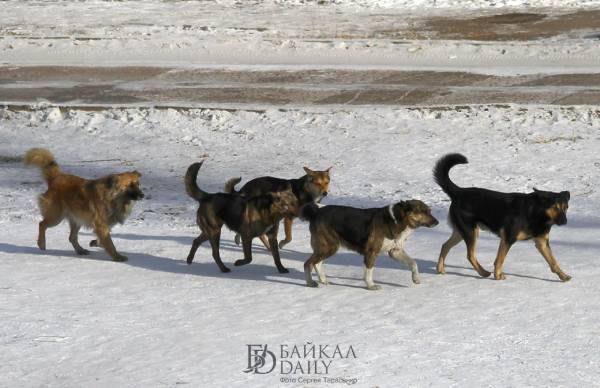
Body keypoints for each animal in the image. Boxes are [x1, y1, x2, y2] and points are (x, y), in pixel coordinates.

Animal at [302, 200, 438, 288]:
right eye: (423, 212)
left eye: (429, 211)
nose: (437, 222)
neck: (396, 220)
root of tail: (316, 212)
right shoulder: (371, 252)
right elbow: (369, 270)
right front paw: (371, 285)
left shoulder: (395, 251)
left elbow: (413, 263)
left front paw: (416, 278)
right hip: (329, 246)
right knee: (307, 264)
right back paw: (310, 283)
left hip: (327, 248)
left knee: (317, 263)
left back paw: (323, 280)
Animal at [434, 152, 568, 282]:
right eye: (555, 207)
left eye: (566, 207)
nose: (565, 222)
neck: (537, 212)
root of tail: (458, 192)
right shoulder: (508, 238)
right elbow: (499, 259)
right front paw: (498, 276)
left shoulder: (542, 242)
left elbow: (553, 262)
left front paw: (564, 276)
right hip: (470, 232)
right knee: (470, 255)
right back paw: (483, 272)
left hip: (462, 232)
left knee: (445, 246)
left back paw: (440, 268)